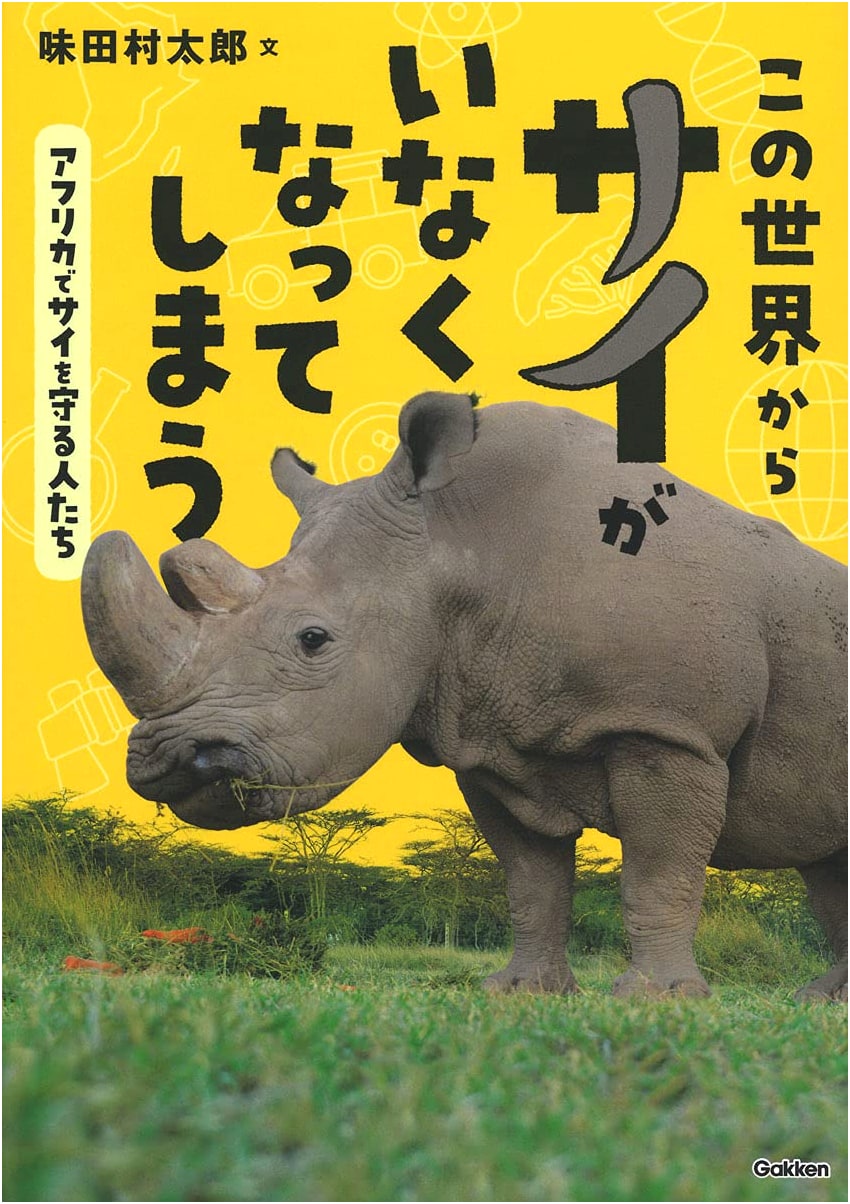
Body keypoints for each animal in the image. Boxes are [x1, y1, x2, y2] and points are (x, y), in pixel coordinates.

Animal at [81, 392, 848, 999]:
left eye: (313, 640)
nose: (167, 762)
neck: (461, 548)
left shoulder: (667, 726)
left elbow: (657, 872)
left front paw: (656, 1000)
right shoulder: (490, 741)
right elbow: (530, 880)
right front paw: (521, 993)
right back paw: (823, 1001)